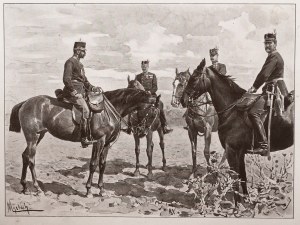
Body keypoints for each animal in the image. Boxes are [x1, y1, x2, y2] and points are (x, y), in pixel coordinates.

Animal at [9, 89, 157, 198]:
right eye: (151, 112)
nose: (143, 132)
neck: (107, 112)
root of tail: (25, 103)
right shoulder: (99, 141)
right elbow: (93, 164)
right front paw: (89, 190)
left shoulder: (107, 144)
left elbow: (102, 165)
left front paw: (101, 190)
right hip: (33, 137)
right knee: (31, 159)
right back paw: (37, 188)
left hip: (39, 135)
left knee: (25, 156)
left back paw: (24, 187)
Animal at [182, 59, 294, 200]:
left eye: (195, 78)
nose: (182, 100)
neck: (232, 110)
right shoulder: (239, 152)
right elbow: (242, 178)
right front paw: (245, 199)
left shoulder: (231, 149)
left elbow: (235, 179)